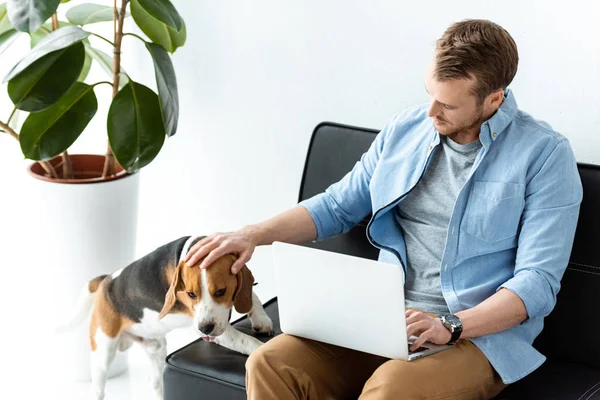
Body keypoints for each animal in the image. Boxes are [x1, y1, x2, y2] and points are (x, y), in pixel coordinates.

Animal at [58, 236, 274, 400]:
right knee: (98, 389)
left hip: (156, 349)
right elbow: (248, 342)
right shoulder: (218, 332)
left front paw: (261, 319)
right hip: (103, 354)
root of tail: (106, 280)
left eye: (221, 291)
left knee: (155, 382)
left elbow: (252, 295)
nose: (204, 329)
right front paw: (263, 350)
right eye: (190, 294)